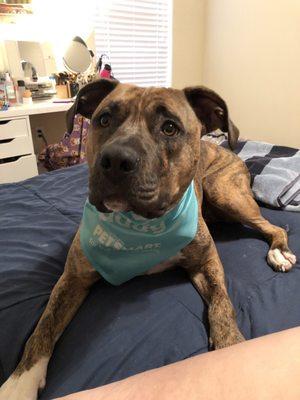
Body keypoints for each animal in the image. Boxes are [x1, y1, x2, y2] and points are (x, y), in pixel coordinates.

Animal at [0, 79, 296, 400]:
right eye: (104, 119)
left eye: (170, 128)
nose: (116, 159)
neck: (142, 224)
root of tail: (225, 148)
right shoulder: (73, 277)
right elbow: (43, 327)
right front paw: (20, 382)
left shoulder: (206, 262)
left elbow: (222, 303)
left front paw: (229, 347)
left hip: (226, 193)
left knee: (274, 227)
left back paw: (279, 252)